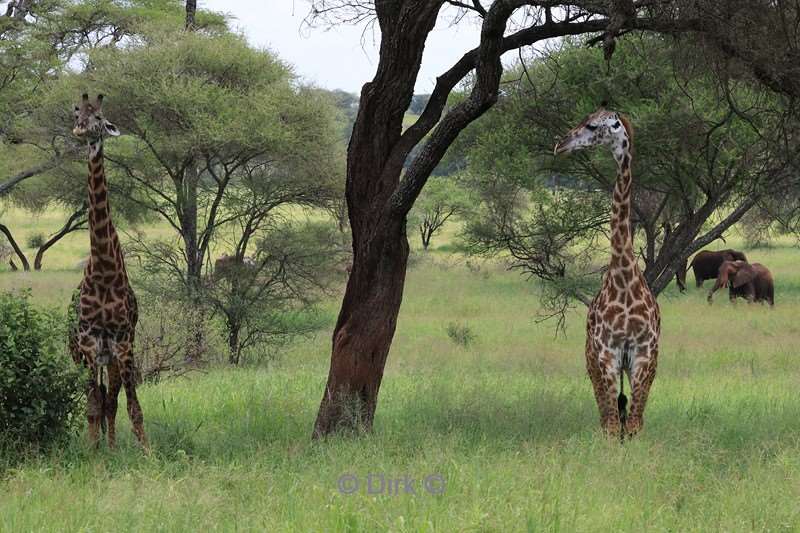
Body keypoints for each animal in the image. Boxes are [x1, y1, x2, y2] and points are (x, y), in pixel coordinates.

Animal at [556, 105, 664, 436]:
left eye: (592, 126)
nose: (560, 145)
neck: (624, 278)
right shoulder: (607, 354)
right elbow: (614, 425)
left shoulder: (644, 355)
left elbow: (635, 424)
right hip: (591, 359)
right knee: (606, 416)